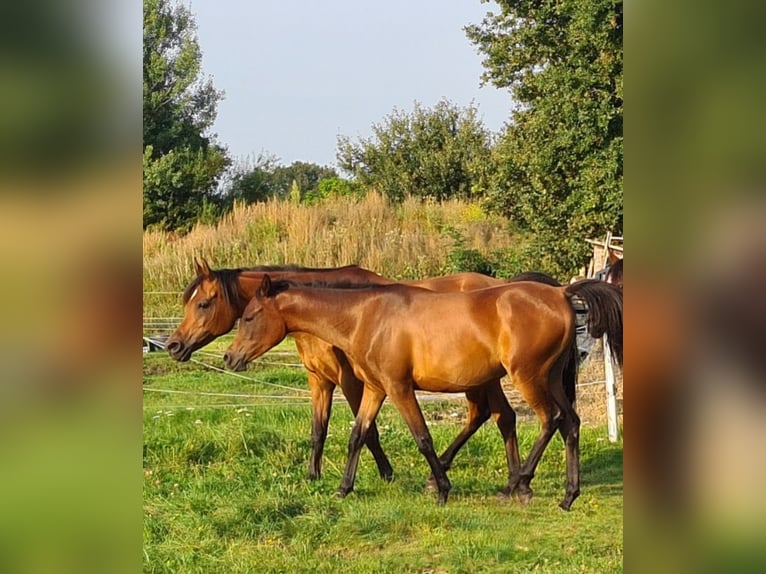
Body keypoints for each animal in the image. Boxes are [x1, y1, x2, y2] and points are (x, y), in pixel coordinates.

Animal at [168, 260, 564, 496]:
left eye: (203, 303)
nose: (173, 345)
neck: (345, 310)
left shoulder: (353, 380)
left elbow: (367, 431)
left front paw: (385, 472)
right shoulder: (320, 380)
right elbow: (320, 429)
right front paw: (313, 476)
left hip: (493, 377)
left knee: (504, 416)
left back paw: (512, 480)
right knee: (492, 415)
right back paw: (502, 479)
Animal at [224, 276, 624, 510]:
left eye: (250, 316)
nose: (229, 357)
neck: (364, 317)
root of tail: (560, 293)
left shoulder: (399, 388)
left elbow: (423, 438)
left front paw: (442, 488)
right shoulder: (375, 389)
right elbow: (358, 435)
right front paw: (343, 489)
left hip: (528, 377)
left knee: (549, 420)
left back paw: (519, 483)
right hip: (551, 378)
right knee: (570, 423)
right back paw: (567, 495)